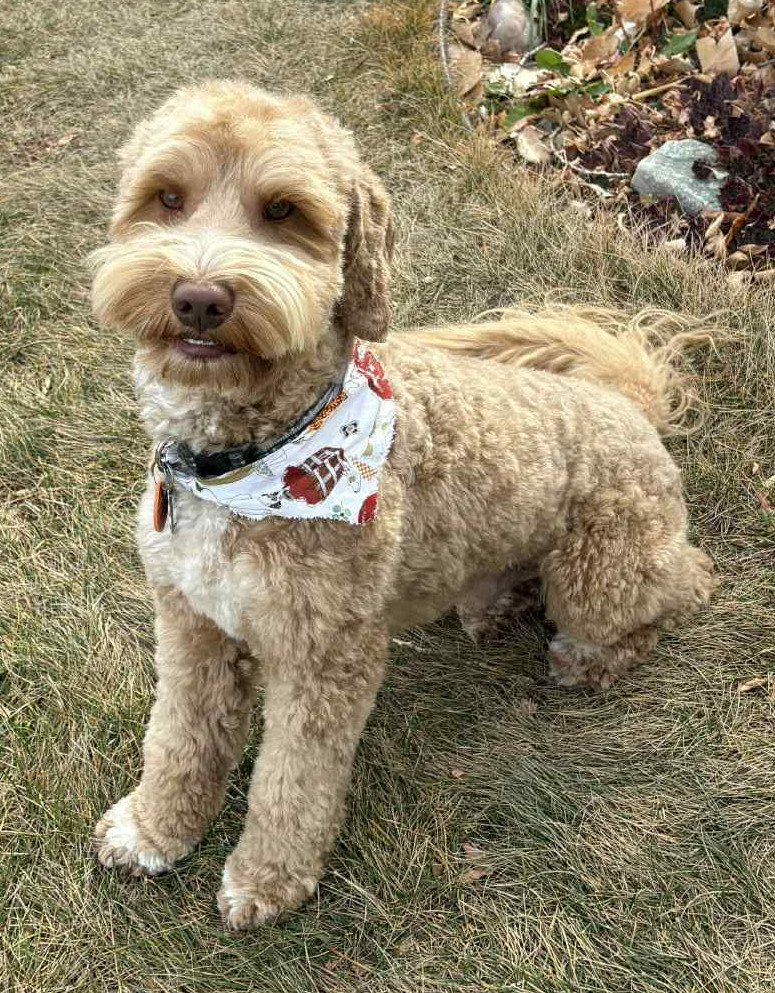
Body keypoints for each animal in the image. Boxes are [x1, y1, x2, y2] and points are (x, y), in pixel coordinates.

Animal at [90, 81, 715, 929]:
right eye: (168, 198)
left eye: (282, 211)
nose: (198, 298)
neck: (246, 460)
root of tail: (627, 403)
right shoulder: (191, 625)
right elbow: (179, 739)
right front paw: (154, 829)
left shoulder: (325, 657)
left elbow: (291, 781)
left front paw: (267, 880)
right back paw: (497, 605)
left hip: (599, 576)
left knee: (682, 583)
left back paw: (590, 655)